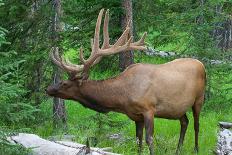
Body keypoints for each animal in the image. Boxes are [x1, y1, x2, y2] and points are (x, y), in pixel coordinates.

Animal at [46, 8, 206, 155]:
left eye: (64, 83)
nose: (47, 89)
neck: (122, 97)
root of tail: (202, 64)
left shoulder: (149, 109)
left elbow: (149, 139)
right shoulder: (136, 116)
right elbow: (138, 140)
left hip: (199, 99)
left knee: (197, 124)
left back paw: (196, 149)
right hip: (178, 108)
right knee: (185, 122)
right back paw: (178, 150)